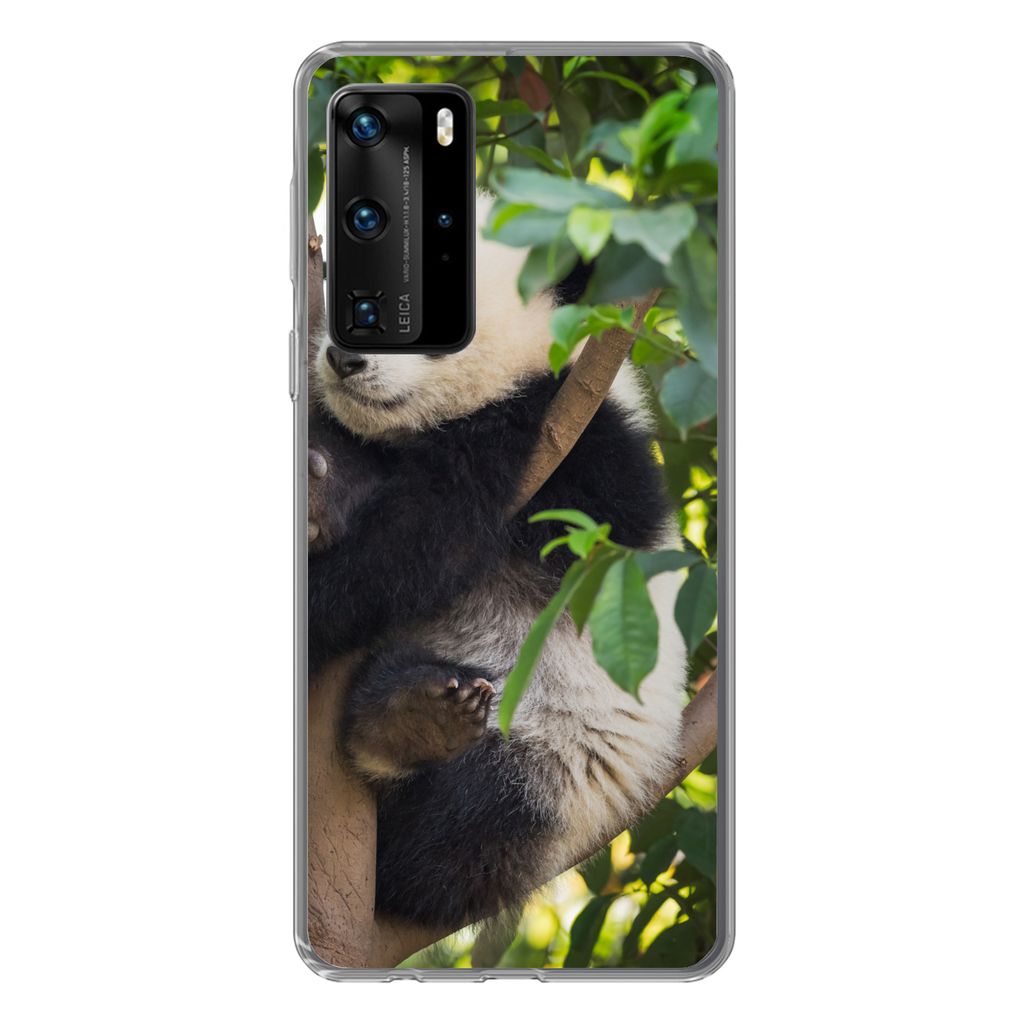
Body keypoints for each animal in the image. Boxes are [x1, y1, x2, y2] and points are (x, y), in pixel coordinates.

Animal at [307, 209, 687, 931]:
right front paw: (323, 487)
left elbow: (420, 545)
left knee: (450, 839)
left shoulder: (565, 441)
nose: (345, 359)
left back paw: (407, 723)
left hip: (552, 764)